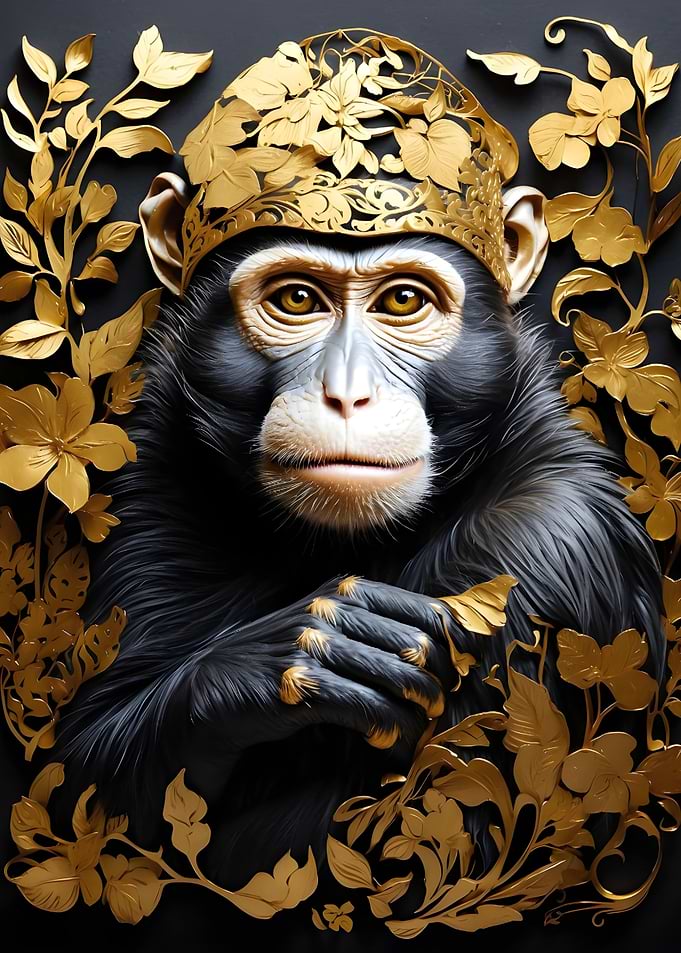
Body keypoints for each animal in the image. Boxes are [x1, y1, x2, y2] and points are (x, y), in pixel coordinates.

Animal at [51, 181, 665, 894]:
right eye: (297, 299)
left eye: (403, 300)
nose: (346, 395)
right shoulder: (160, 473)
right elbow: (87, 773)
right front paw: (288, 658)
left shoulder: (541, 549)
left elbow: (418, 832)